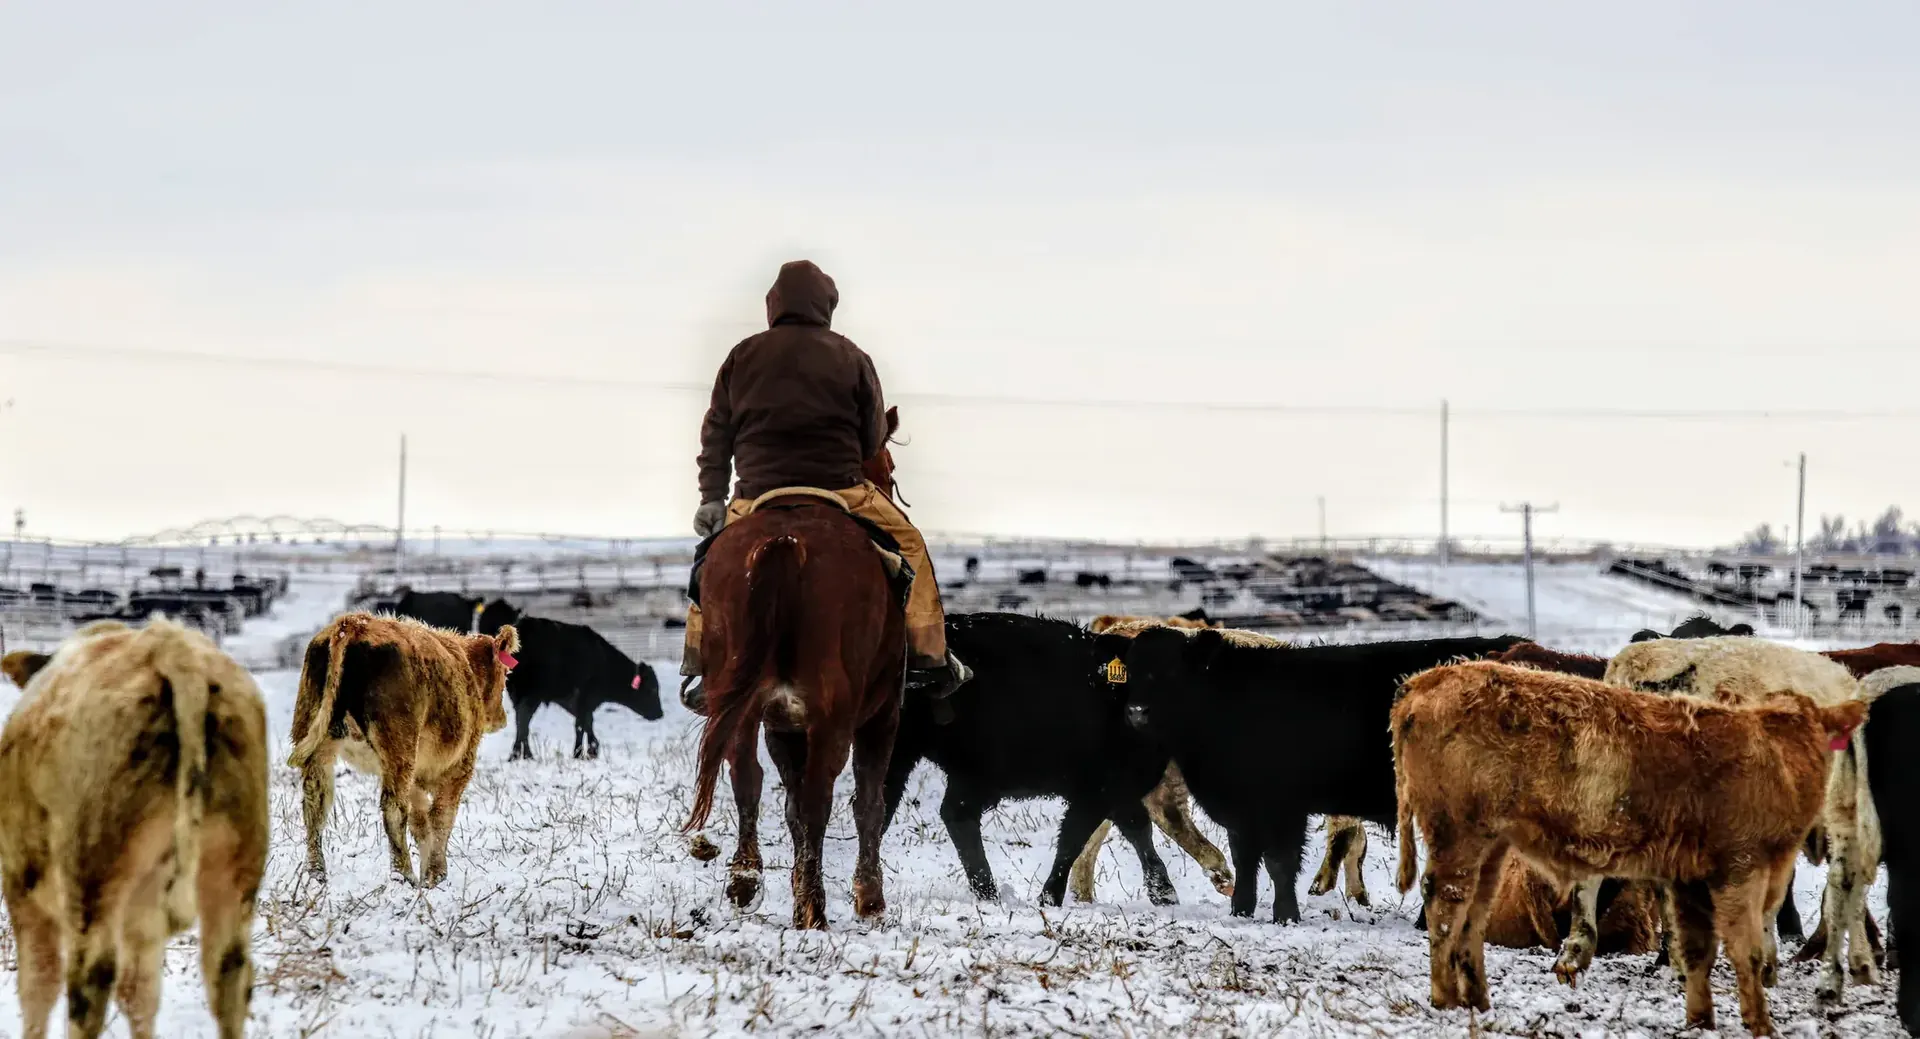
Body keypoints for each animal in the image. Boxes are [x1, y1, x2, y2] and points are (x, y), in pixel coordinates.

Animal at [0, 619, 269, 1039]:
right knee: (227, 977)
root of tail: (170, 645)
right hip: (234, 869)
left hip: (90, 879)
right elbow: (139, 992)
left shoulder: (20, 885)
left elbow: (37, 985)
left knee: (88, 984)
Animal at [287, 613, 518, 888]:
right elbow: (441, 818)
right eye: (505, 673)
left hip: (317, 744)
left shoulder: (417, 777)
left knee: (314, 805)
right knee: (393, 810)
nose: (502, 718)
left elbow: (421, 822)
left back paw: (316, 873)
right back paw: (403, 875)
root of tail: (354, 623)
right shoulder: (459, 766)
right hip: (399, 748)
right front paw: (436, 875)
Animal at [882, 613, 1183, 906]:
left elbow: (1137, 827)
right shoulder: (1097, 789)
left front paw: (1163, 891)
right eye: (1139, 670)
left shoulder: (1117, 788)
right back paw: (987, 892)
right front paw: (1051, 896)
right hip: (958, 765)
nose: (1140, 710)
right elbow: (1074, 838)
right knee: (938, 812)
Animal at [1094, 626, 1524, 923]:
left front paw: (1285, 915)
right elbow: (1245, 858)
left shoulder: (1284, 806)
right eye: (1131, 671)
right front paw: (1241, 910)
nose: (1137, 712)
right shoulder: (1243, 807)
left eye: (1172, 672)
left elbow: (1279, 862)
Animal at [1393, 660, 1860, 1036]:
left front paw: (1700, 1021)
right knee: (1445, 903)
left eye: (1818, 741)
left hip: (1490, 845)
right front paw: (1761, 1025)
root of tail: (1427, 679)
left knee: (1473, 913)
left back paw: (1477, 1000)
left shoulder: (1688, 878)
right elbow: (1748, 950)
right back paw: (1444, 998)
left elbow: (1696, 951)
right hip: (1456, 833)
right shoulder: (1740, 869)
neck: (1775, 761)